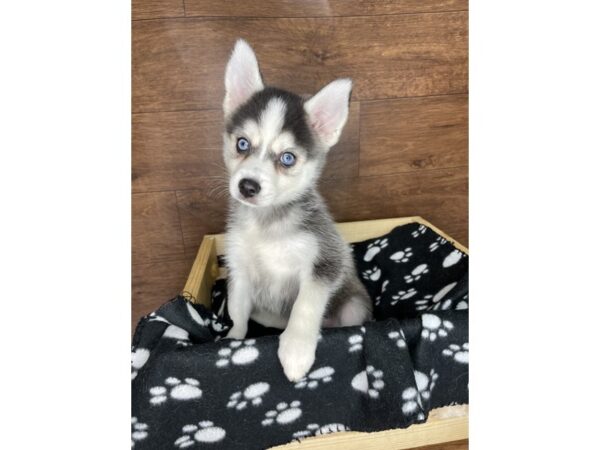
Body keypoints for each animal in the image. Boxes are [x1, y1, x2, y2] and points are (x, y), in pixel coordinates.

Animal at [220, 40, 370, 382]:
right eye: (242, 144)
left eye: (287, 158)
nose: (248, 186)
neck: (268, 225)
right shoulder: (239, 268)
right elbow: (237, 309)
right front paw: (234, 339)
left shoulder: (325, 261)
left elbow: (305, 306)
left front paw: (296, 351)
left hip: (353, 306)